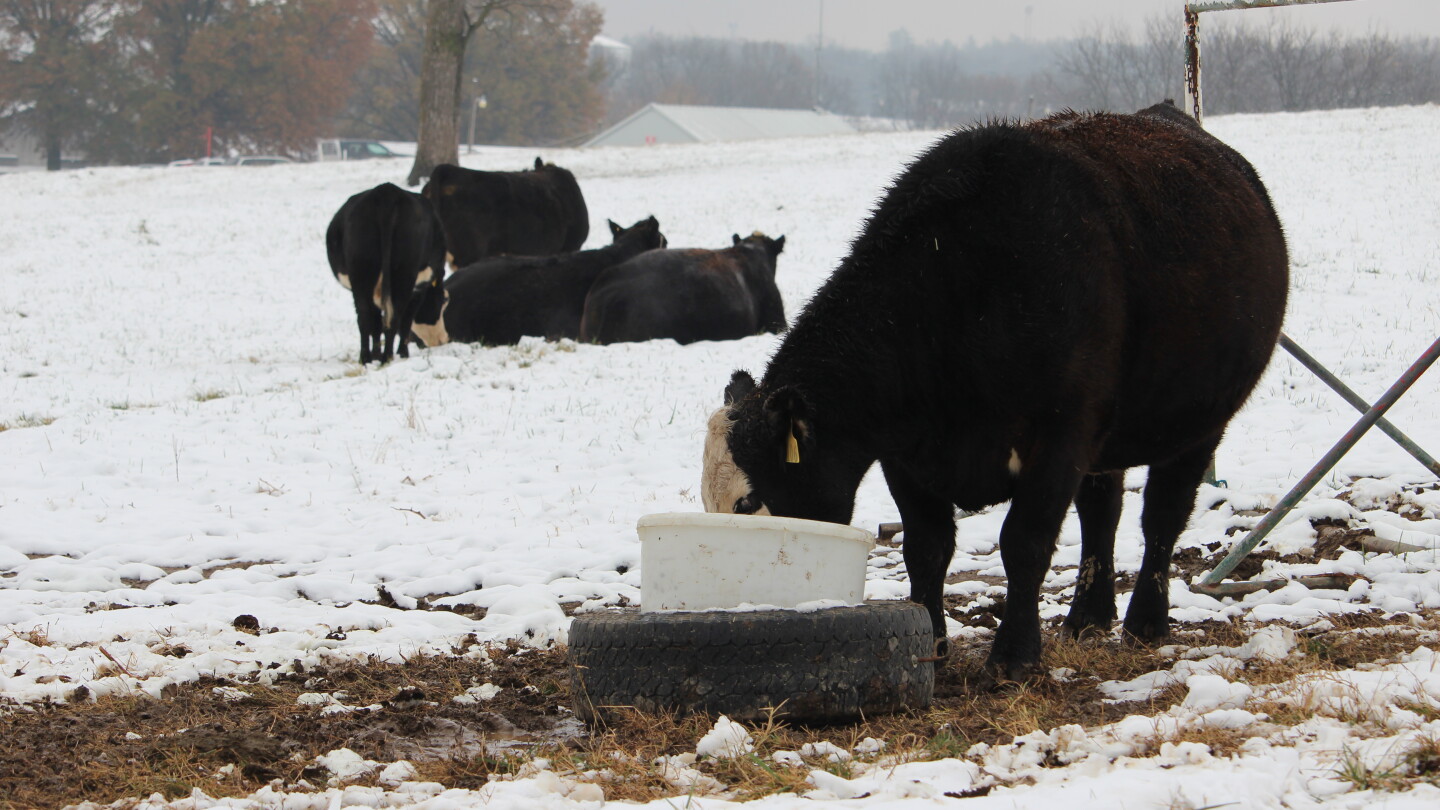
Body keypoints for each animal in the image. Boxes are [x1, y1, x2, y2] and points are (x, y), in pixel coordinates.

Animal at [325, 182, 447, 364]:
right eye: (441, 300)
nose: (442, 339)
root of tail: (387, 192)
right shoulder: (418, 290)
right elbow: (405, 321)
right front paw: (402, 353)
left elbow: (376, 323)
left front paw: (375, 354)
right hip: (404, 274)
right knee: (395, 317)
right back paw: (388, 356)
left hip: (361, 272)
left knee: (365, 316)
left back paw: (366, 358)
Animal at [701, 103, 1289, 685]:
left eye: (748, 500)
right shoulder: (905, 456)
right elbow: (926, 547)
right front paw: (932, 646)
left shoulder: (1061, 436)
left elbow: (1024, 543)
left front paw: (1014, 656)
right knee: (1102, 510)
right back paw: (1087, 617)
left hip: (1197, 422)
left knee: (1162, 516)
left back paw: (1145, 621)